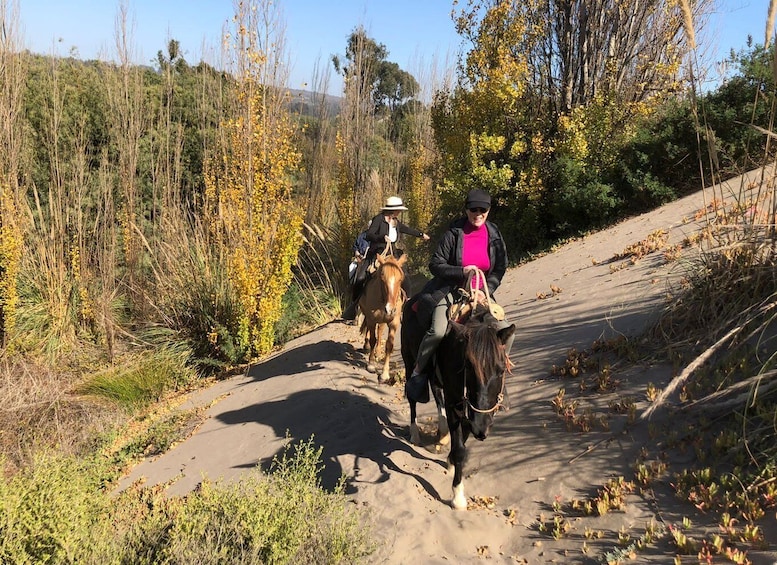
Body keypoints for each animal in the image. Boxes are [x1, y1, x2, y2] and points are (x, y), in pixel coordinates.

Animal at [358, 252, 406, 382]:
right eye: (382, 278)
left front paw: (384, 374)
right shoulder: (372, 319)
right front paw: (371, 364)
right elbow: (373, 339)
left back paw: (378, 352)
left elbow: (389, 345)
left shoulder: (393, 322)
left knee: (379, 332)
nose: (390, 309)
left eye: (400, 279)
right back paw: (367, 346)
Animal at [400, 302, 516, 508]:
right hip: (409, 361)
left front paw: (450, 459)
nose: (482, 429)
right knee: (413, 399)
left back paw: (442, 433)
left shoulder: (471, 413)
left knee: (437, 395)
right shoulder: (455, 402)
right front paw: (458, 496)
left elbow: (464, 434)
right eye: (468, 366)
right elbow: (461, 449)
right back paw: (415, 434)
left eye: (502, 369)